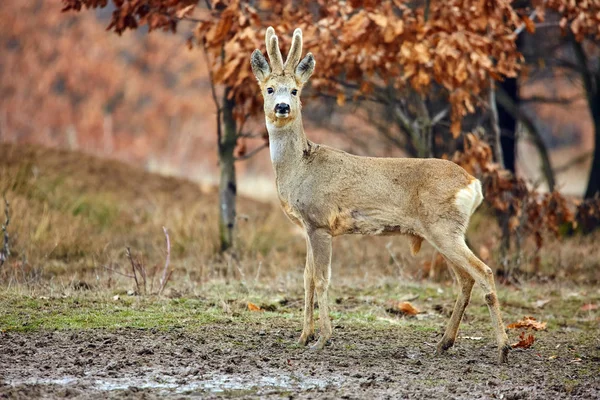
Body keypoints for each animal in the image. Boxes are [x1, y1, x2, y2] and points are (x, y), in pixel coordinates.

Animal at [250, 26, 510, 364]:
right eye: (269, 89)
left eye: (295, 91)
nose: (282, 107)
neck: (299, 168)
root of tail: (473, 183)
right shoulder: (307, 226)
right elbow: (306, 278)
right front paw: (303, 337)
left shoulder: (320, 222)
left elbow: (321, 279)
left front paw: (323, 339)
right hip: (443, 231)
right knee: (466, 278)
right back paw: (444, 343)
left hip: (444, 227)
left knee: (484, 272)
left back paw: (503, 348)